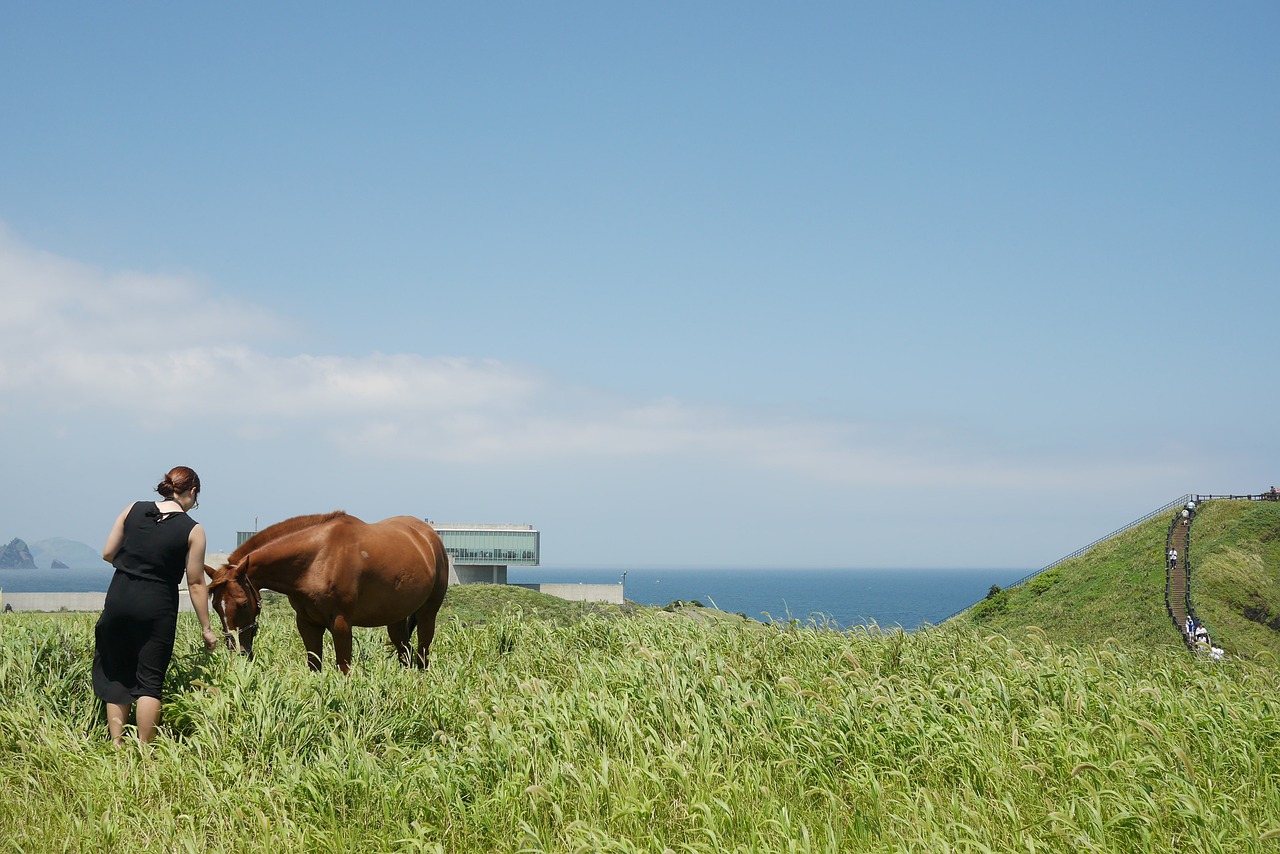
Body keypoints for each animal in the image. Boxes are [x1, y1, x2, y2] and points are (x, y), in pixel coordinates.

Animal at [206, 512, 450, 676]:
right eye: (216, 606)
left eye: (243, 604)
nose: (238, 652)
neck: (317, 559)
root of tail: (429, 536)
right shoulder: (307, 623)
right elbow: (314, 665)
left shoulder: (341, 622)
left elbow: (344, 667)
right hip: (396, 617)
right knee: (404, 651)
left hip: (428, 613)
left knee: (423, 651)